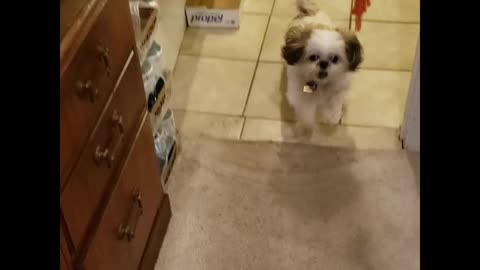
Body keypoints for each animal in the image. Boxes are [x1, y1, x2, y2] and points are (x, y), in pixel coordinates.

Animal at [282, 0, 364, 133]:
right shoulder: (300, 93)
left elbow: (334, 102)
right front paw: (305, 125)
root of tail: (310, 12)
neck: (320, 84)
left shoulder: (339, 88)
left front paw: (332, 117)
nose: (324, 63)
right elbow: (305, 110)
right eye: (313, 57)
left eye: (335, 59)